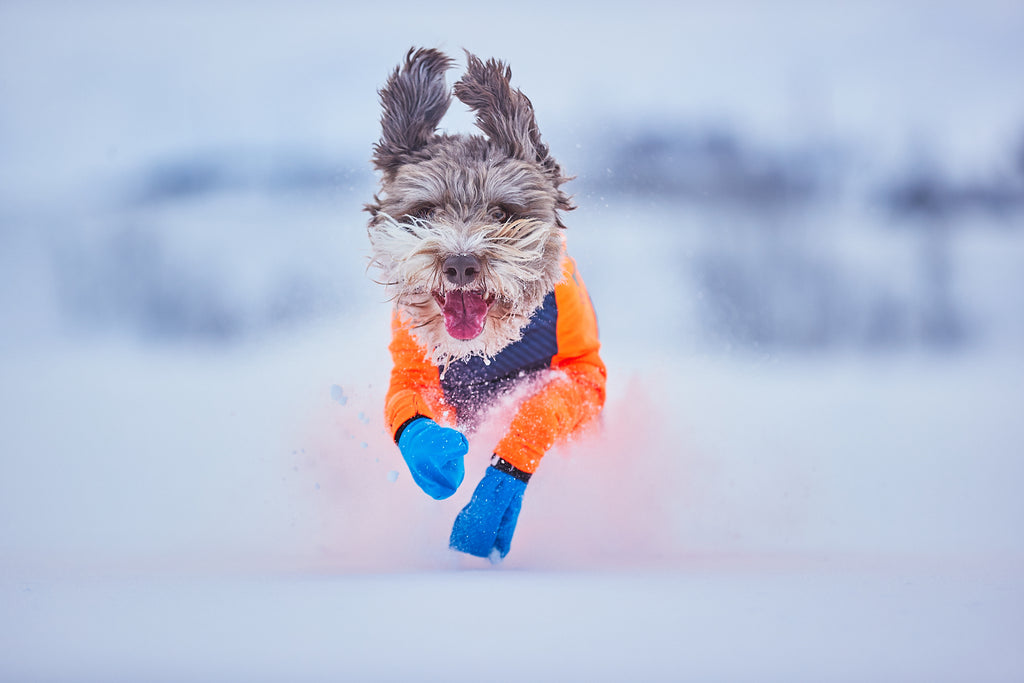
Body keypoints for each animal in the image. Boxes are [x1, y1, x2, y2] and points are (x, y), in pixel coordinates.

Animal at [364, 48, 602, 561]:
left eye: (502, 212)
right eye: (425, 211)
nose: (460, 264)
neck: (485, 349)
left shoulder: (584, 373)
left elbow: (543, 407)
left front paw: (491, 504)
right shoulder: (413, 364)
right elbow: (409, 408)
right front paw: (438, 455)